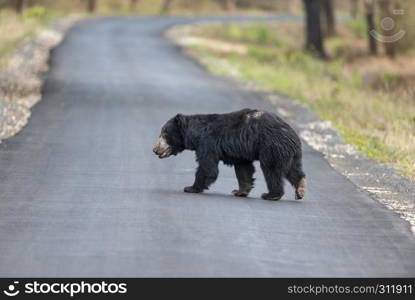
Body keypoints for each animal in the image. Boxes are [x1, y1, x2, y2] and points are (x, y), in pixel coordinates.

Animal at [154, 109, 308, 200]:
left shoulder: (207, 143)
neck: (196, 135)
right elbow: (244, 169)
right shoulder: (240, 153)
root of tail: (293, 134)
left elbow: (207, 167)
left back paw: (271, 194)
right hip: (290, 153)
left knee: (271, 170)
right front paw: (240, 191)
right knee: (293, 170)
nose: (155, 149)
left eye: (163, 134)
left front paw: (191, 187)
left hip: (271, 146)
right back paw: (300, 189)